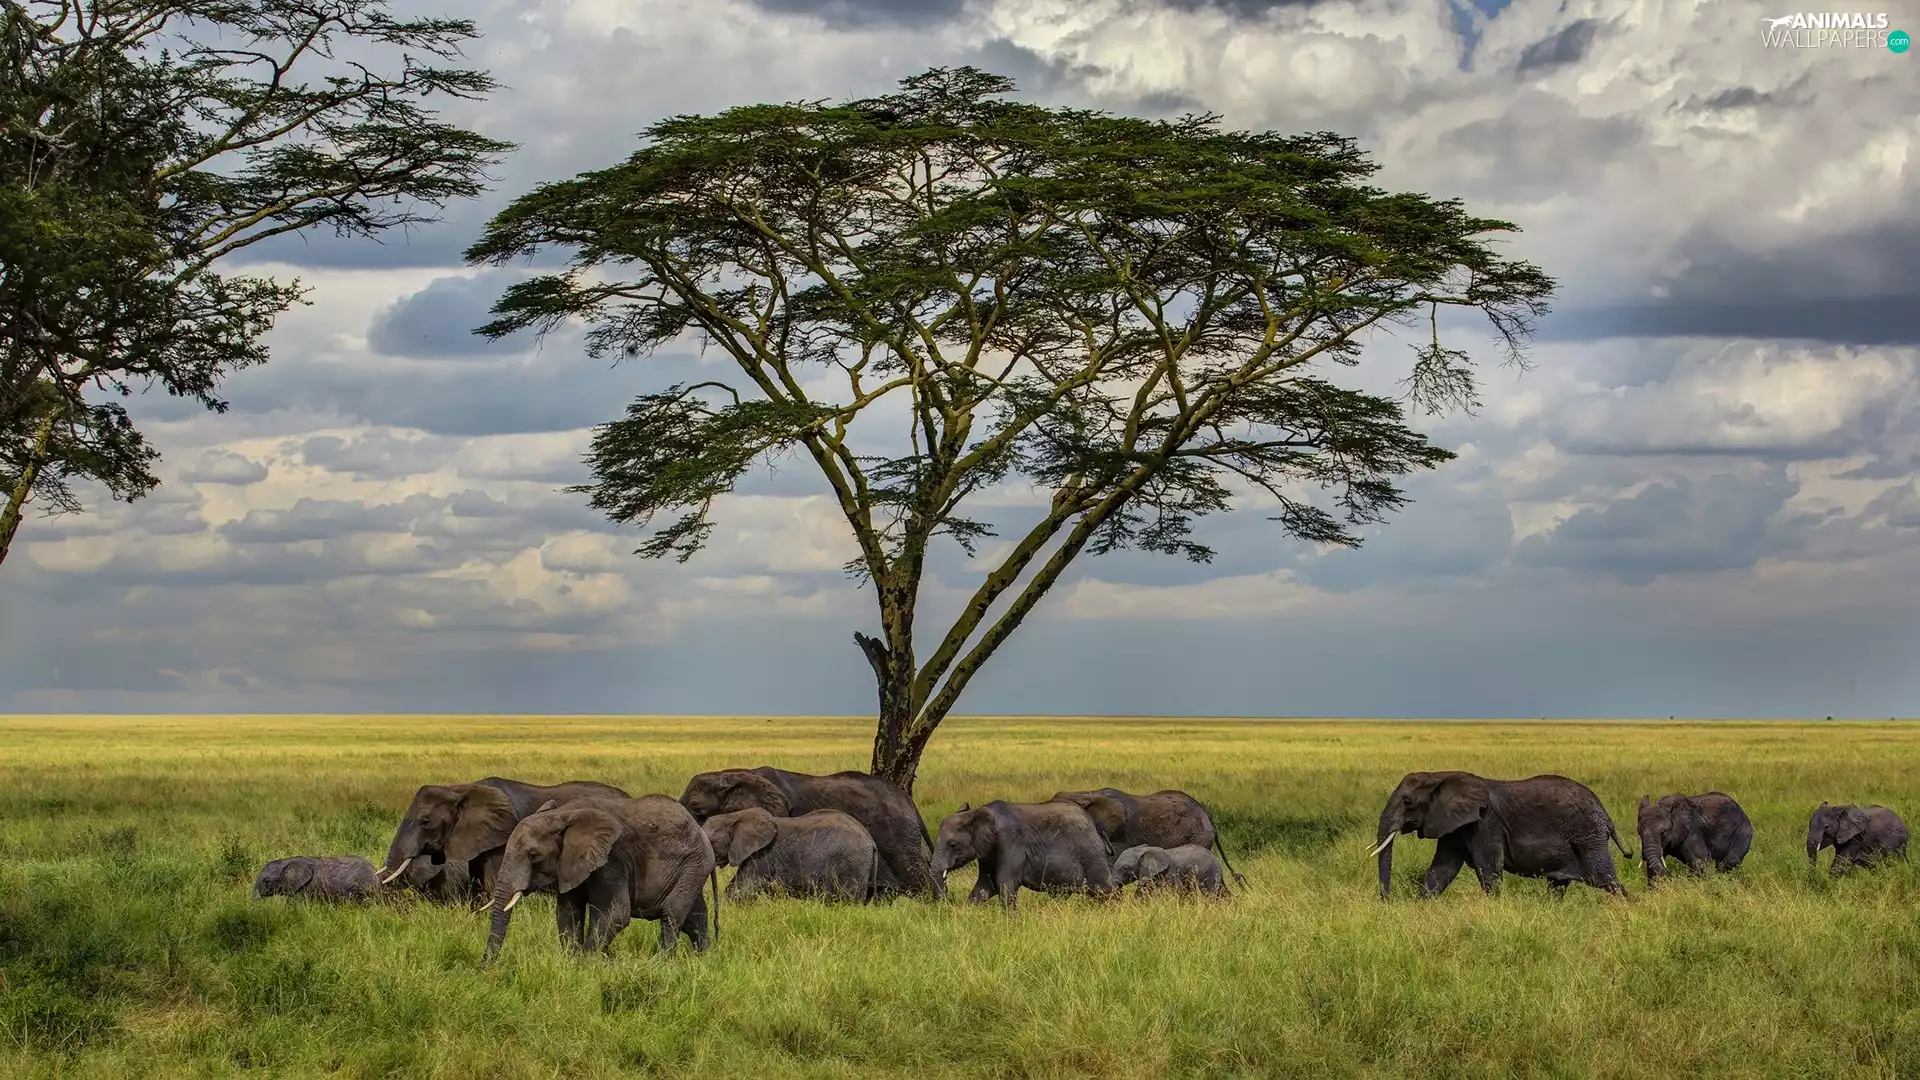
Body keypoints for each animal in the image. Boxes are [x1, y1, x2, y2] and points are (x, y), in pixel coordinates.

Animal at [484, 795, 718, 965]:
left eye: (533, 855)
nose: (485, 970)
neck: (562, 814)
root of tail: (701, 831)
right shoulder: (571, 863)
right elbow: (568, 913)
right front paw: (572, 963)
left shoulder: (612, 859)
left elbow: (615, 914)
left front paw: (587, 964)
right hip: (693, 867)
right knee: (694, 918)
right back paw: (704, 959)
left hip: (693, 863)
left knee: (671, 912)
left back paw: (663, 963)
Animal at [702, 807, 879, 902]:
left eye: (711, 842)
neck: (735, 815)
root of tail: (871, 841)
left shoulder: (763, 854)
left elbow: (744, 889)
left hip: (851, 861)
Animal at [931, 800, 1117, 910]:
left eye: (953, 844)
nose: (946, 906)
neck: (976, 813)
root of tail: (1095, 825)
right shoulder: (986, 852)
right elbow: (985, 886)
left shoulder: (1010, 843)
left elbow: (1005, 884)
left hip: (1091, 854)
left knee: (1104, 889)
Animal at [1373, 771, 1632, 900]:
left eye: (1407, 802)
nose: (1387, 900)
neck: (1439, 775)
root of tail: (1605, 814)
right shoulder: (1453, 826)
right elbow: (1441, 871)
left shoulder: (1485, 824)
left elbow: (1489, 870)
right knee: (1558, 886)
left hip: (1588, 837)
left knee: (1606, 880)